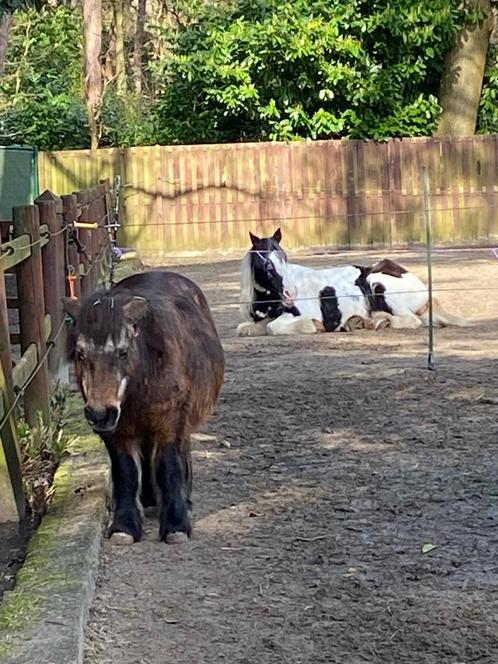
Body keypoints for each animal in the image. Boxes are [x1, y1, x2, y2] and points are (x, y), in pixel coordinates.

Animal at [63, 272, 224, 544]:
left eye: (122, 352)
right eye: (80, 354)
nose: (99, 414)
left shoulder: (169, 423)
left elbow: (169, 468)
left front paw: (176, 524)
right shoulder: (118, 433)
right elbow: (126, 473)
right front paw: (125, 526)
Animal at [237, 230, 474, 338]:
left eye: (284, 259)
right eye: (267, 263)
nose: (290, 293)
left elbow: (274, 327)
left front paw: (315, 326)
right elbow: (246, 328)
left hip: (378, 286)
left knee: (410, 320)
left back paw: (375, 322)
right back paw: (360, 321)